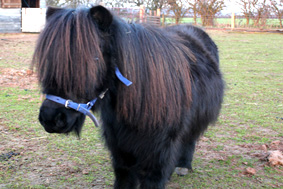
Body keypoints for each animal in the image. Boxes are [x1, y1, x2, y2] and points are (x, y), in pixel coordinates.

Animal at [32, 5, 225, 188]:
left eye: (93, 60)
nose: (50, 118)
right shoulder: (120, 148)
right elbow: (124, 177)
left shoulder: (160, 152)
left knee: (189, 139)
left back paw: (184, 165)